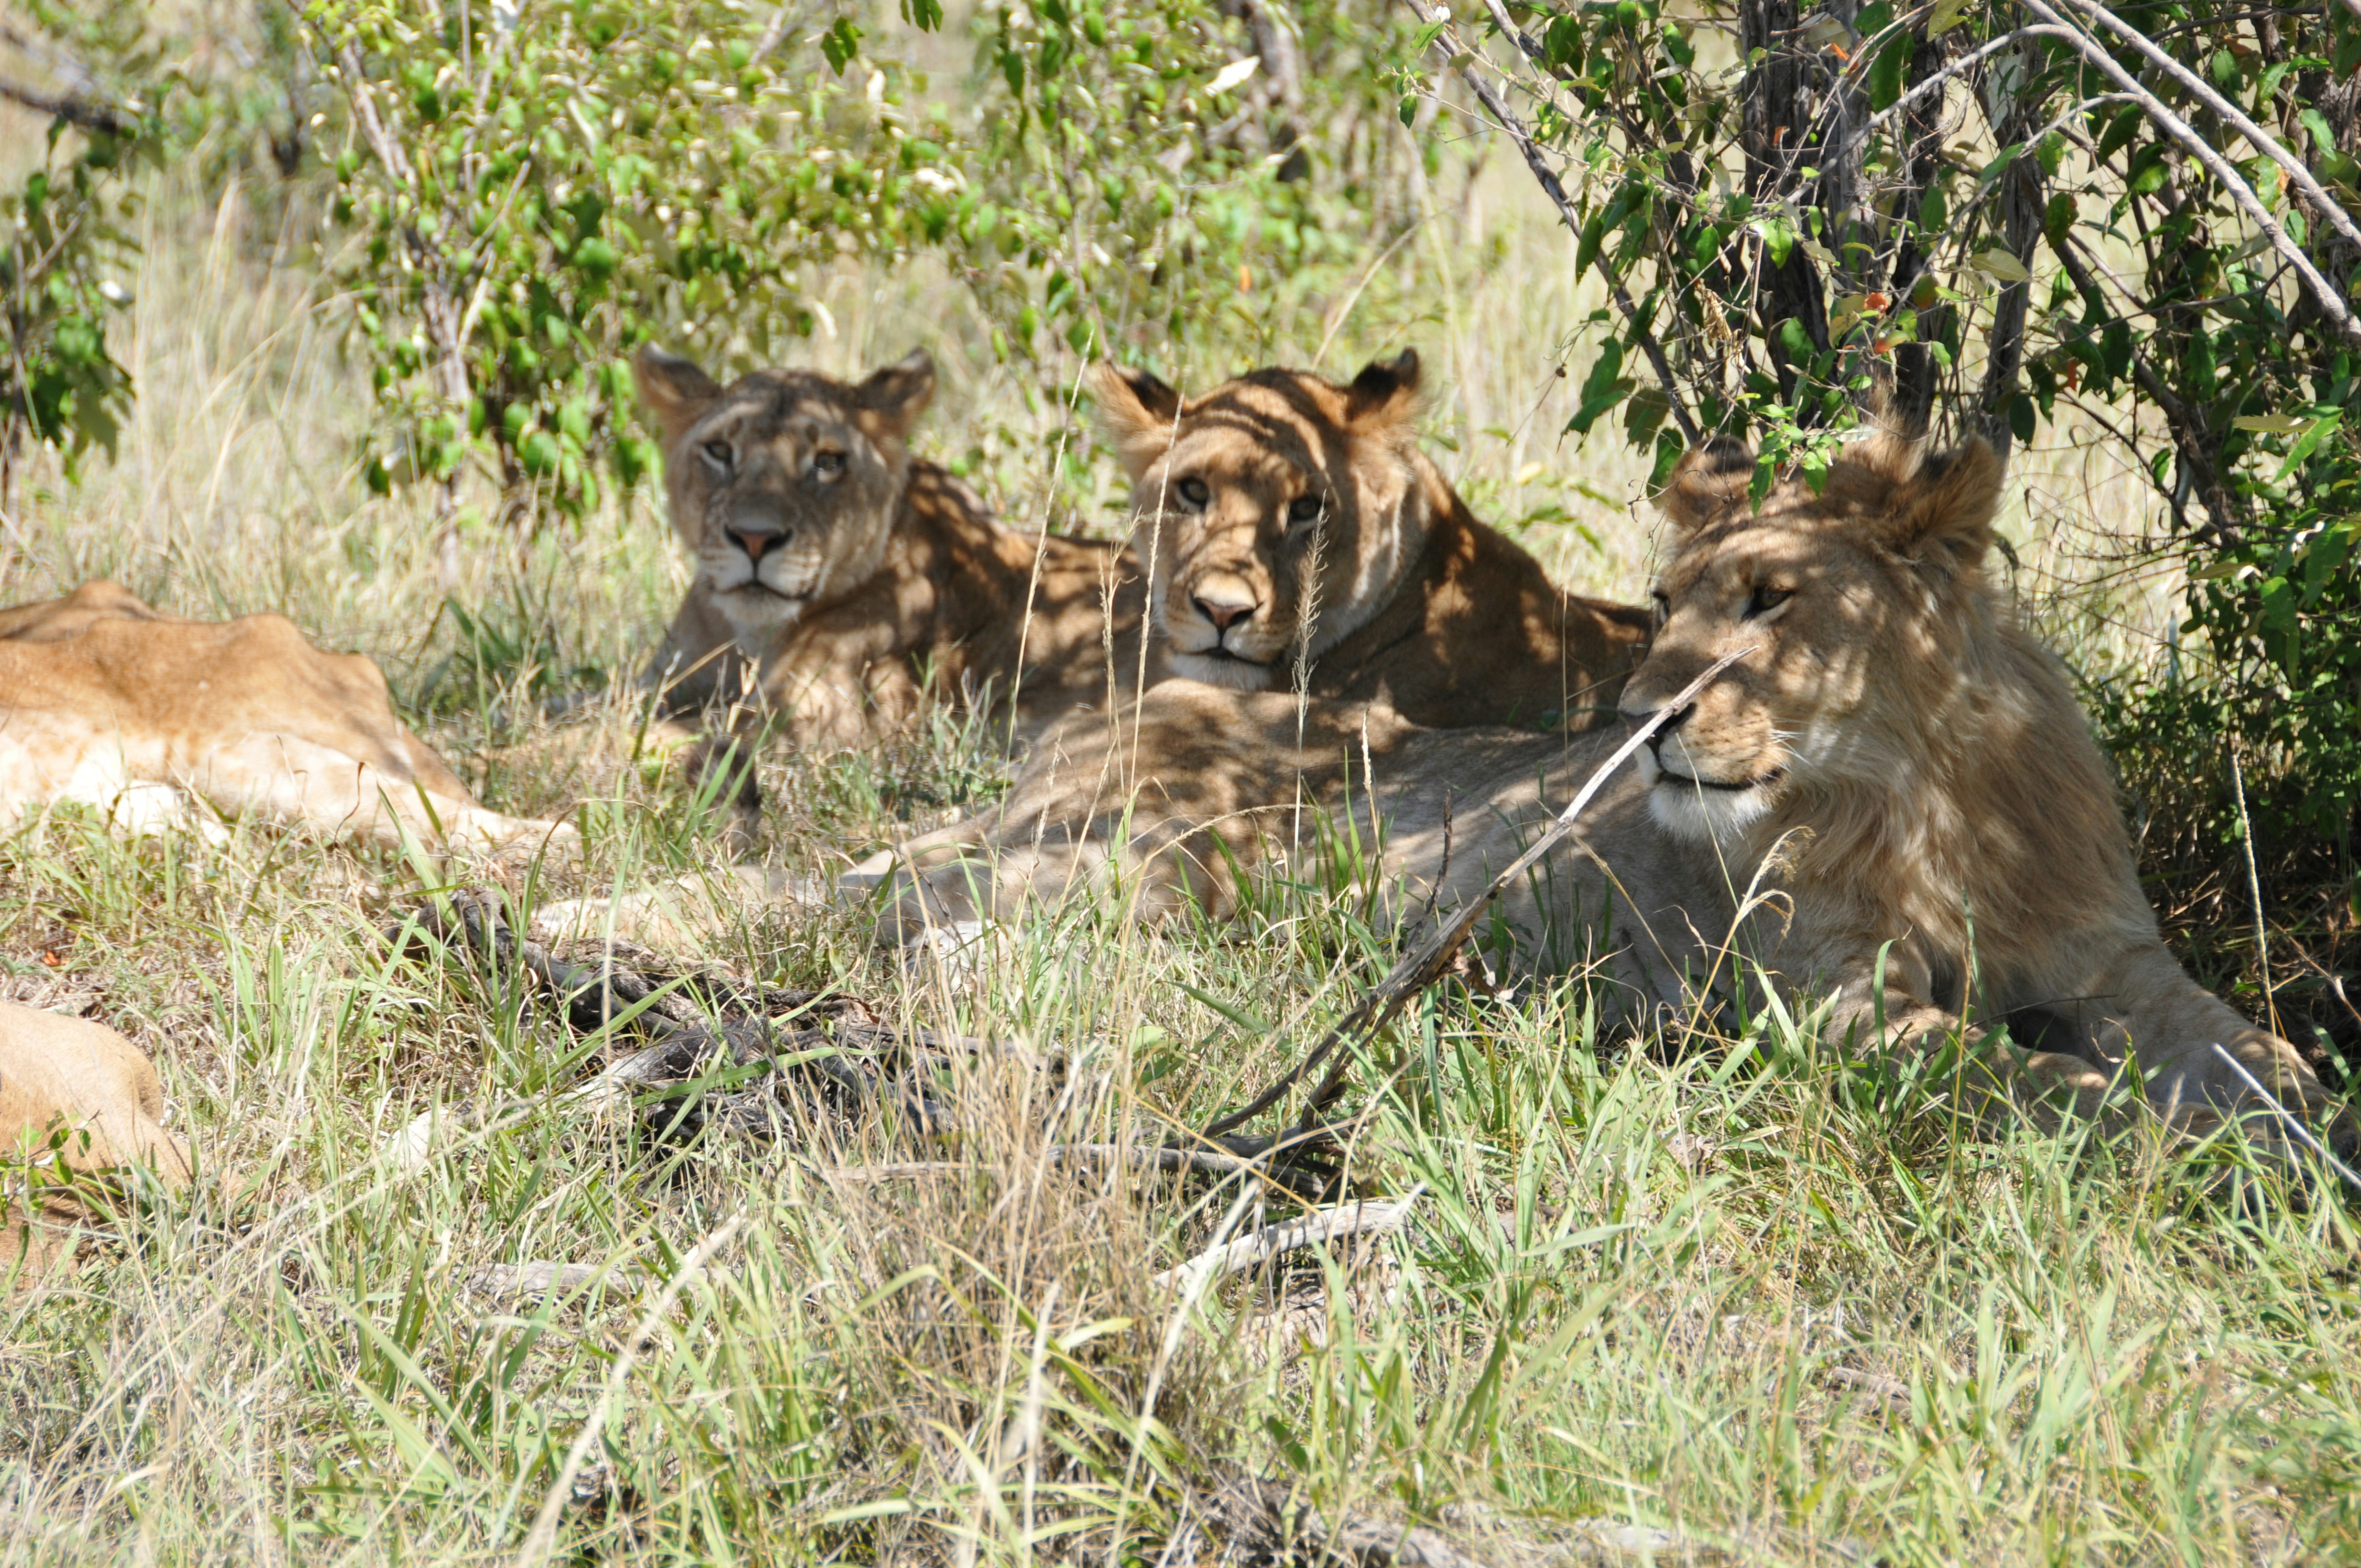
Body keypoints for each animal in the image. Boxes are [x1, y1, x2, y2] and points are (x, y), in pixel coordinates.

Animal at [632, 346, 1157, 768]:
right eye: (719, 451)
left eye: (828, 462)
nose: (754, 538)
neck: (752, 634)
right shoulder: (660, 683)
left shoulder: (819, 727)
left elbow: (642, 737)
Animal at [892, 434, 2330, 1131]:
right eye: (1664, 599)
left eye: (1768, 598)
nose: (1637, 721)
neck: (1928, 803)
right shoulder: (1827, 1006)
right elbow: (2025, 1078)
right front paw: (2170, 1136)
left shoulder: (2112, 962)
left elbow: (2247, 1046)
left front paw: (2301, 1117)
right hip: (1174, 857)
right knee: (932, 903)